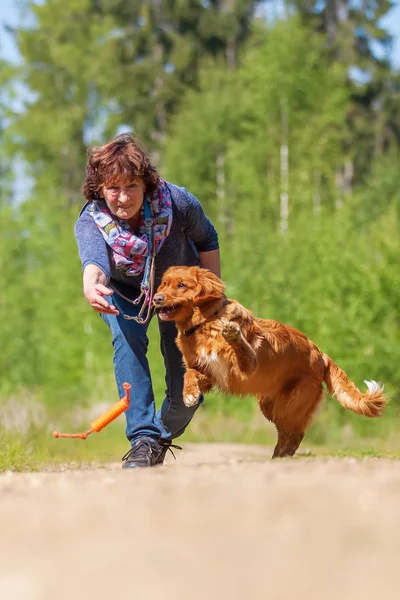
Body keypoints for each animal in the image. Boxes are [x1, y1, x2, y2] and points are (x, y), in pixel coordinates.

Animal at [152, 264, 388, 458]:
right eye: (163, 283)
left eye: (181, 285)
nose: (156, 298)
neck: (204, 323)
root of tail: (320, 354)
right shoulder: (210, 374)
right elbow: (189, 373)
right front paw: (189, 394)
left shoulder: (245, 367)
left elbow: (242, 349)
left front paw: (233, 334)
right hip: (270, 405)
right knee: (288, 435)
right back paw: (277, 458)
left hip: (290, 405)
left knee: (294, 435)